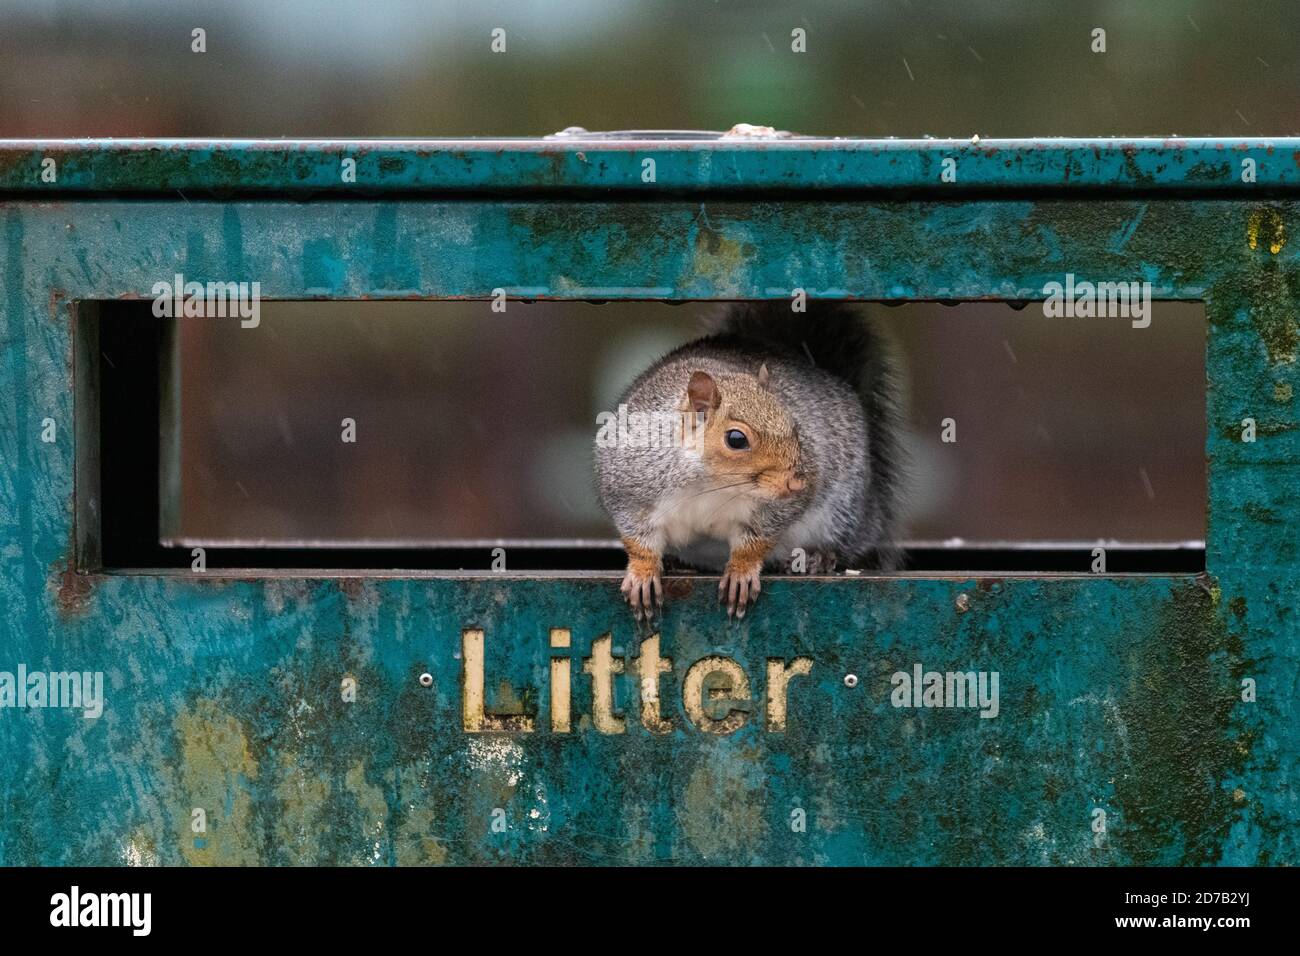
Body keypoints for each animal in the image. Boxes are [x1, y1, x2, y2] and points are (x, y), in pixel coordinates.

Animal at [594, 300, 905, 619]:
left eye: (796, 428)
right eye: (736, 439)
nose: (797, 483)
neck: (709, 484)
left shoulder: (780, 507)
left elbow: (758, 539)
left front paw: (741, 572)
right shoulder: (628, 488)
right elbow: (637, 538)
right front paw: (643, 573)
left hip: (844, 512)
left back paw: (818, 557)